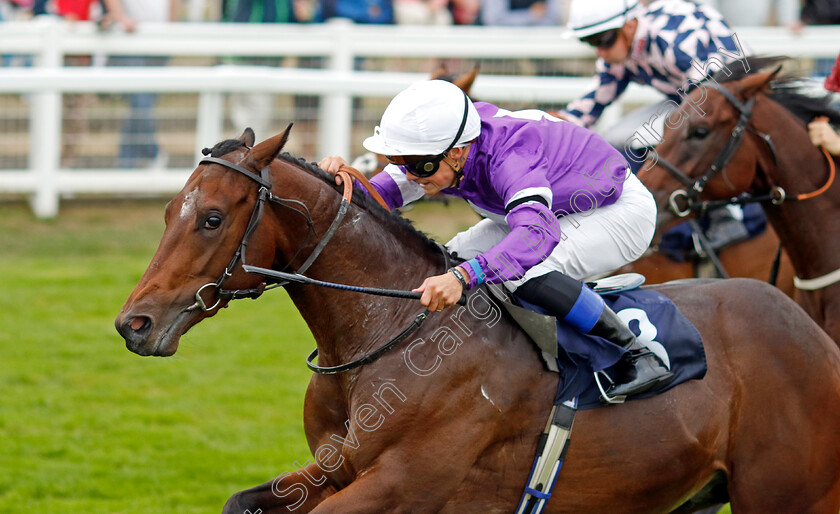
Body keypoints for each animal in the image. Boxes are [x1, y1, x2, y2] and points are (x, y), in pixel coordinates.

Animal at [115, 126, 840, 510]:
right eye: (168, 212)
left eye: (212, 218)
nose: (134, 324)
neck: (386, 337)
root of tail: (813, 336)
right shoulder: (332, 469)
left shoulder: (403, 484)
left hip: (786, 493)